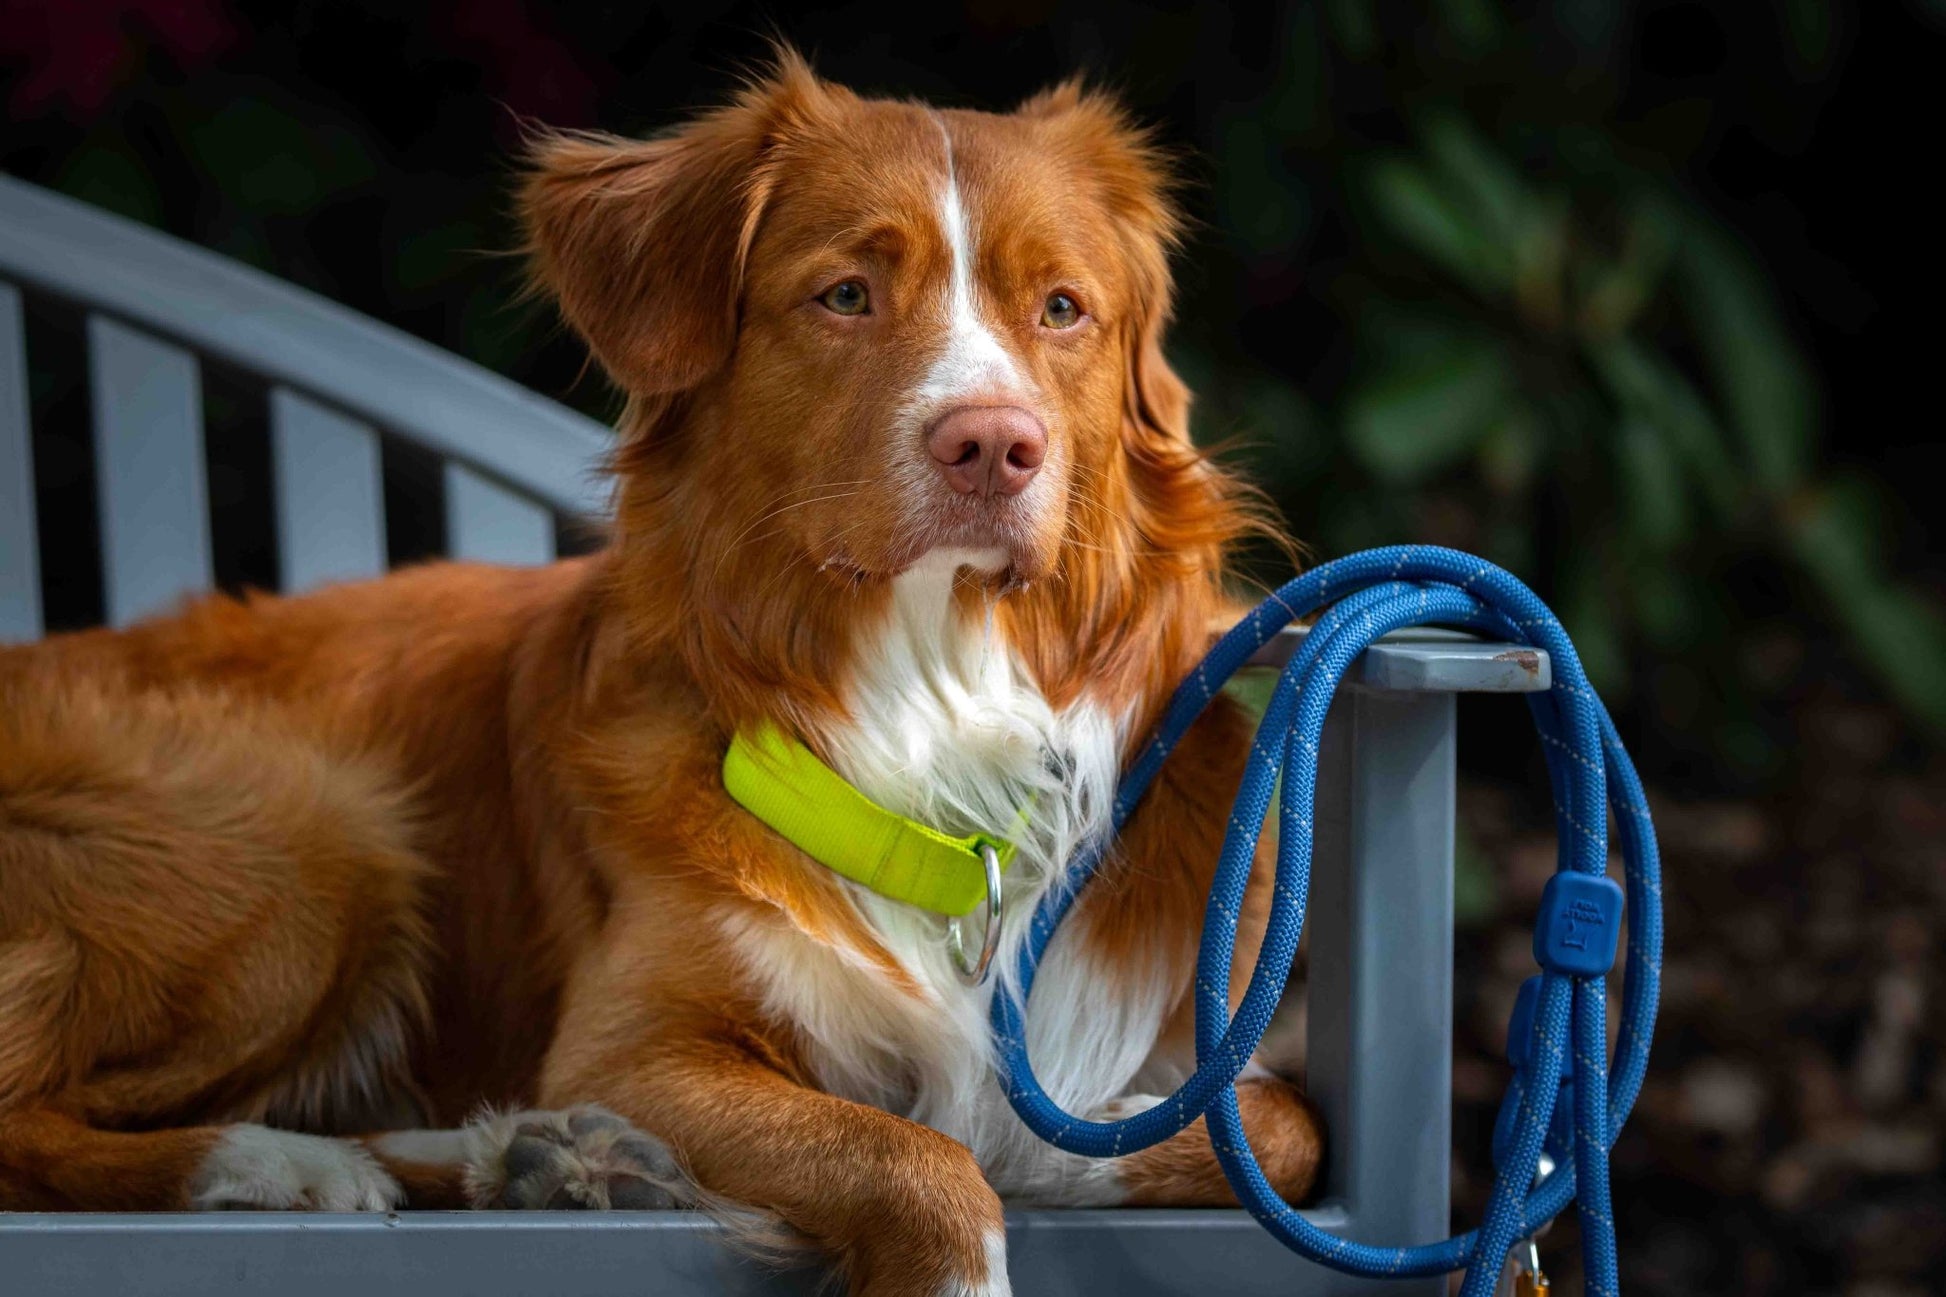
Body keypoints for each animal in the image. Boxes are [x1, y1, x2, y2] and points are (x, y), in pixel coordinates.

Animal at [0, 50, 1323, 1293]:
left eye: (1059, 308)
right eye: (846, 295)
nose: (995, 443)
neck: (933, 704)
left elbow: (1275, 1128)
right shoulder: (633, 1048)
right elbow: (916, 1155)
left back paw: (531, 1155)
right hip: (315, 831)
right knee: (25, 1117)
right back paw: (284, 1161)